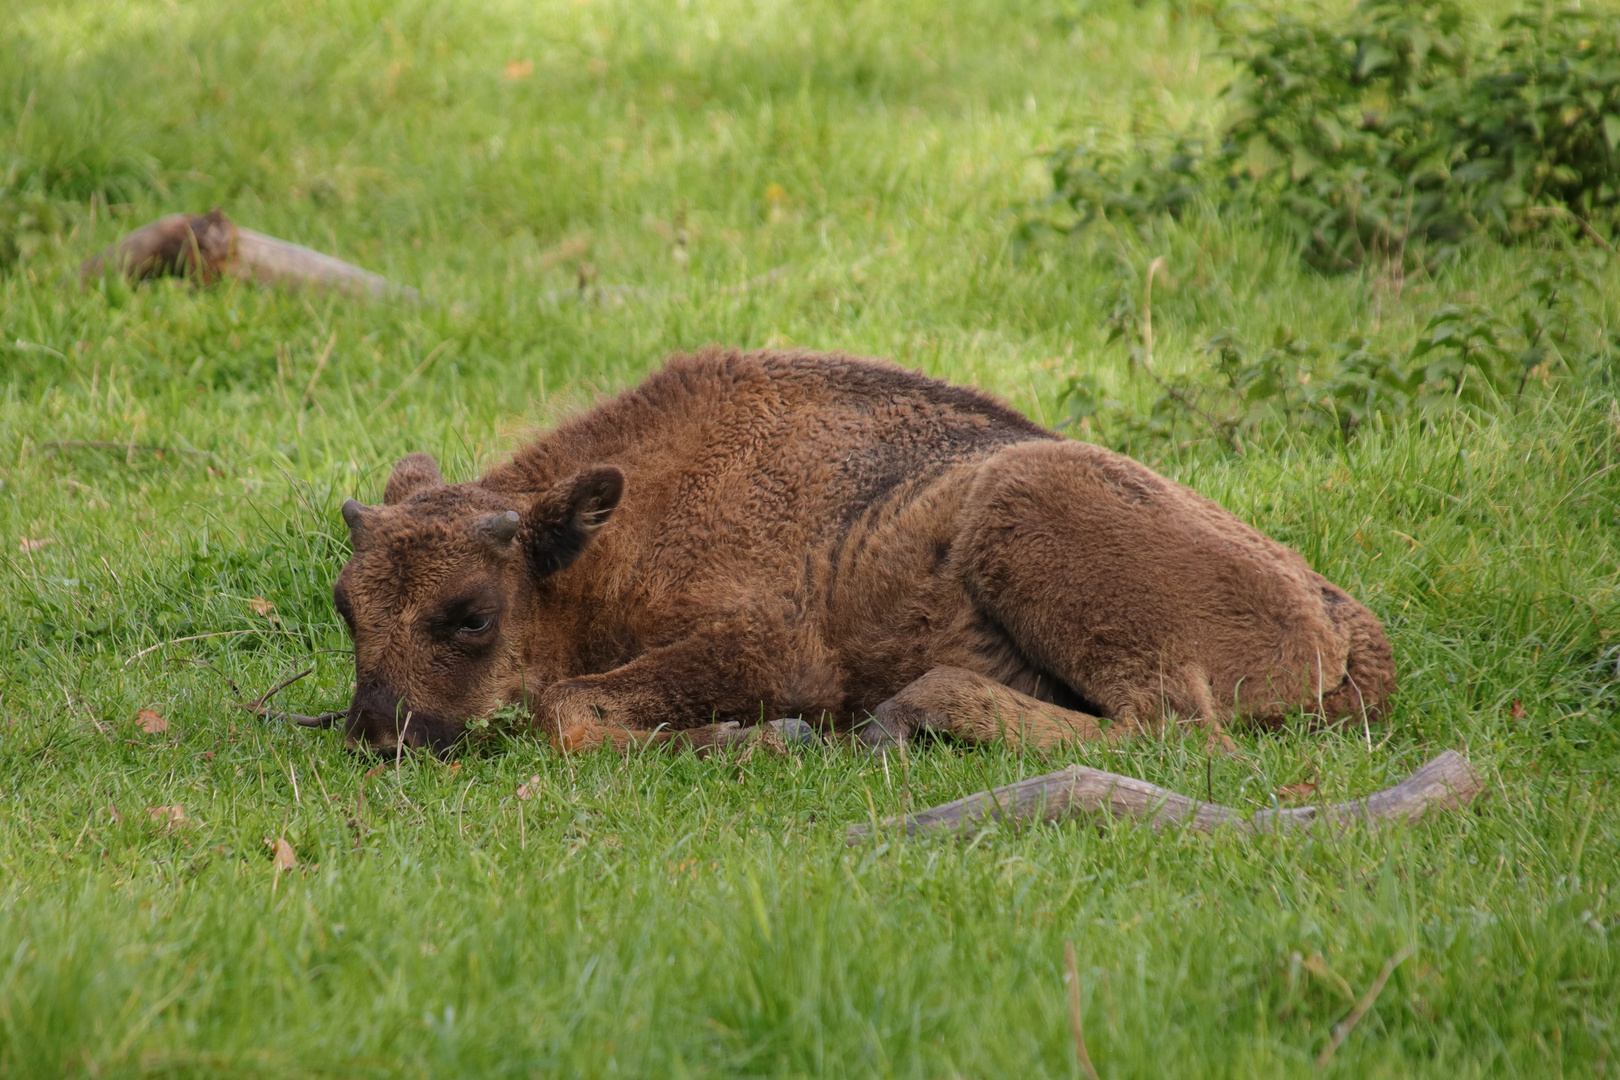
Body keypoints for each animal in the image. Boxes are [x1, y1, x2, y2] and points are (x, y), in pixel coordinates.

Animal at [332, 351, 1393, 757]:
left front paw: (761, 740)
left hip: (1023, 509)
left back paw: (910, 715)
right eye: (347, 604)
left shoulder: (776, 649)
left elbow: (564, 707)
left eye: (472, 615)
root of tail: (1343, 618)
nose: (375, 732)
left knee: (1174, 729)